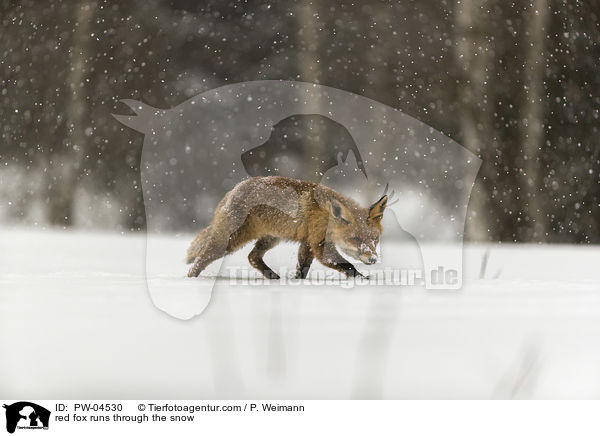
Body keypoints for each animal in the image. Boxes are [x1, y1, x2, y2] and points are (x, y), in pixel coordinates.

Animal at [188, 175, 390, 278]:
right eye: (355, 239)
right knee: (203, 257)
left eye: (375, 239)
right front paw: (361, 279)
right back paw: (191, 278)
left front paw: (297, 283)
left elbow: (302, 267)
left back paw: (272, 277)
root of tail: (231, 191)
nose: (373, 259)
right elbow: (346, 265)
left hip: (271, 238)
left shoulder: (307, 243)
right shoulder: (319, 244)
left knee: (252, 257)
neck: (326, 216)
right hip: (231, 241)